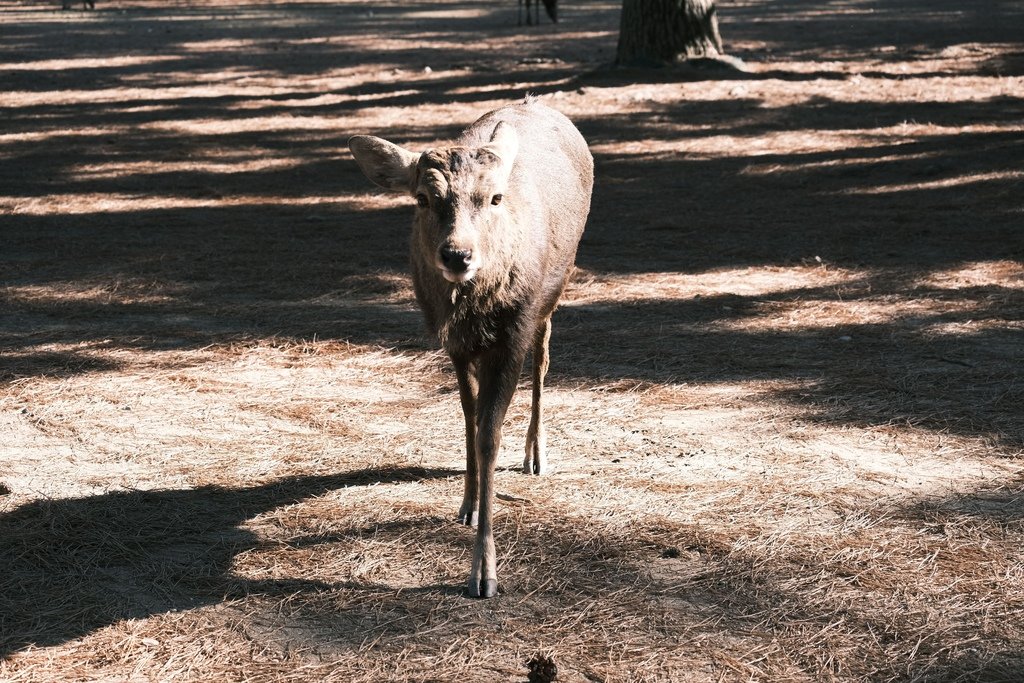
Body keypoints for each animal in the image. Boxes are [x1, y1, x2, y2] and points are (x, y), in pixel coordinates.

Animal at [350, 97, 593, 598]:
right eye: (423, 198)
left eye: (494, 197)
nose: (457, 255)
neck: (476, 308)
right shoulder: (455, 344)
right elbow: (467, 418)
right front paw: (468, 504)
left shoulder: (512, 334)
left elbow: (489, 436)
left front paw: (484, 571)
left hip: (554, 290)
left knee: (544, 359)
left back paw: (536, 453)